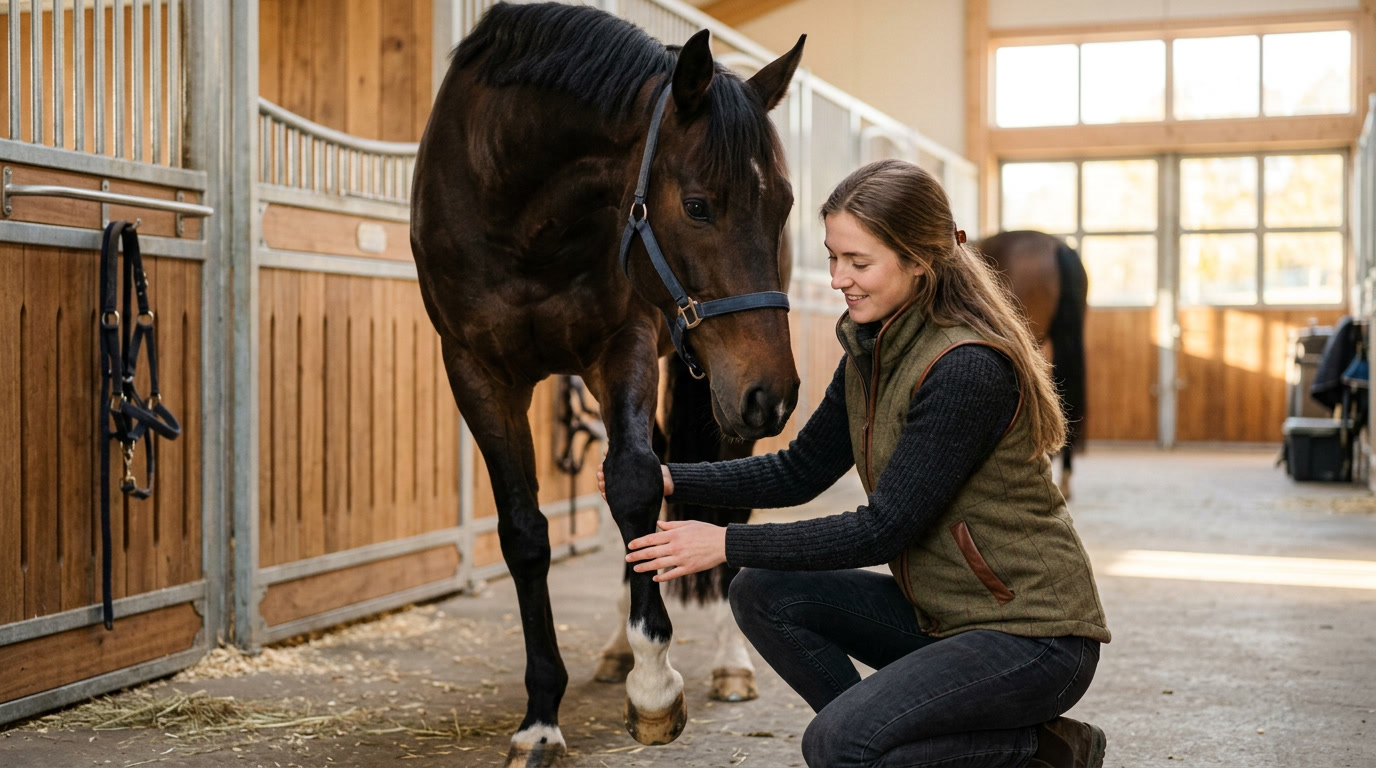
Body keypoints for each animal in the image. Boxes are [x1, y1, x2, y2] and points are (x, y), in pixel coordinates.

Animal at [410, 3, 804, 765]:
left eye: (785, 204)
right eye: (699, 205)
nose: (773, 394)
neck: (518, 206)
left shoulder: (622, 348)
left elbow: (633, 483)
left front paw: (655, 689)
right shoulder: (476, 372)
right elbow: (526, 531)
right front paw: (540, 721)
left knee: (725, 505)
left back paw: (728, 664)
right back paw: (619, 648)